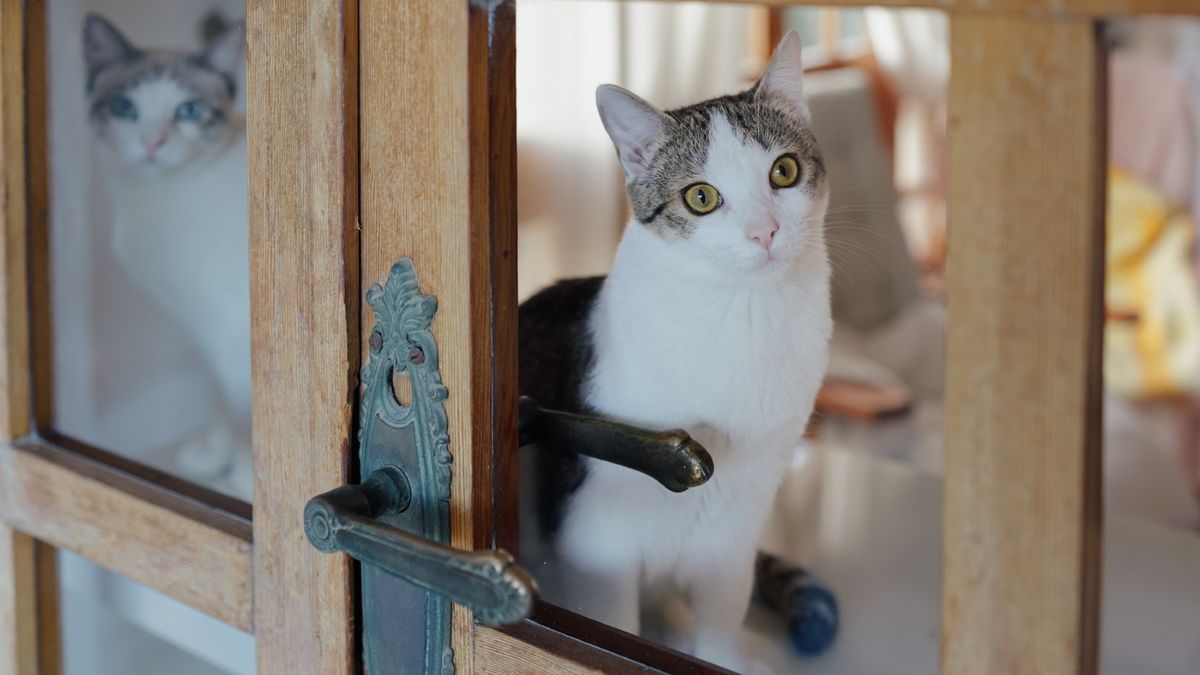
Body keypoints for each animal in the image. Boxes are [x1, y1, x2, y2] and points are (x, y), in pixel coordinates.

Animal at [82, 13, 253, 497]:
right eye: (125, 108)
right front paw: (214, 458)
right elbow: (218, 395)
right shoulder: (205, 325)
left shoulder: (237, 325)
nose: (153, 142)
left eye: (188, 111)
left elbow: (250, 407)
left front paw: (249, 478)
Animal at [520, 32, 830, 667]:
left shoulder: (735, 531)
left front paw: (716, 653)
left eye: (784, 171)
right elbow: (611, 626)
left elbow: (721, 616)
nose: (764, 231)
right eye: (701, 197)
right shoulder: (597, 541)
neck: (742, 318)